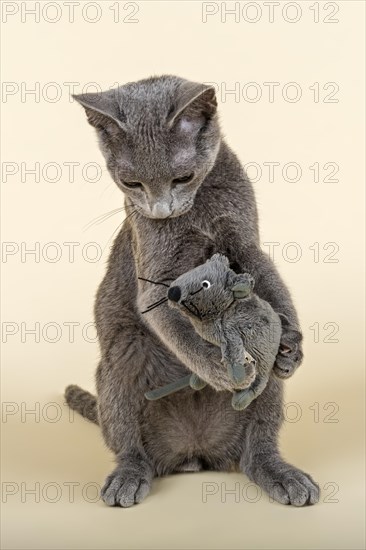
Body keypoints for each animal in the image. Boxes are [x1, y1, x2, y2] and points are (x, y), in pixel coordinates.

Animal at [64, 75, 318, 512]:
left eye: (182, 177)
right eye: (131, 183)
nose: (160, 210)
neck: (197, 212)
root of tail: (193, 452)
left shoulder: (245, 240)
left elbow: (270, 281)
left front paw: (292, 346)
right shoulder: (154, 274)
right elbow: (177, 327)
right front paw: (219, 369)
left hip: (259, 414)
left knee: (257, 449)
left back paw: (283, 475)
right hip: (122, 354)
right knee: (129, 446)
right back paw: (127, 478)